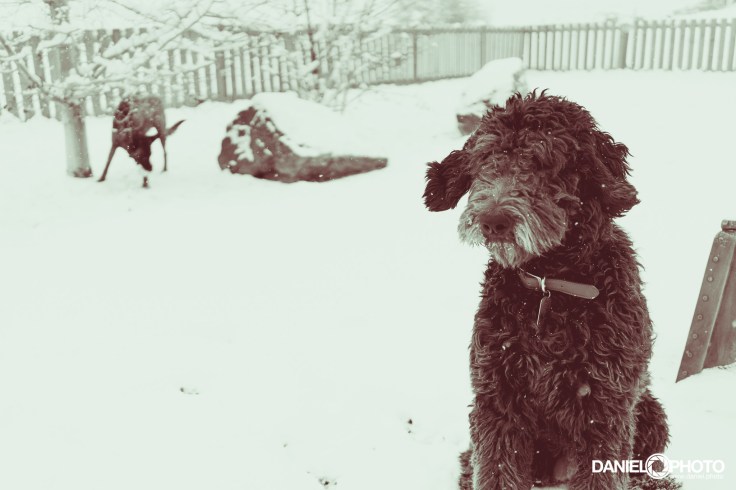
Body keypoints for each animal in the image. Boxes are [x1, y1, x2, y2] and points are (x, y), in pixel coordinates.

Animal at [424, 91, 672, 490]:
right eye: (485, 159)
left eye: (541, 160)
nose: (493, 220)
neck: (549, 285)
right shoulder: (496, 401)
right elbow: (495, 469)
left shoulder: (606, 406)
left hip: (650, 414)